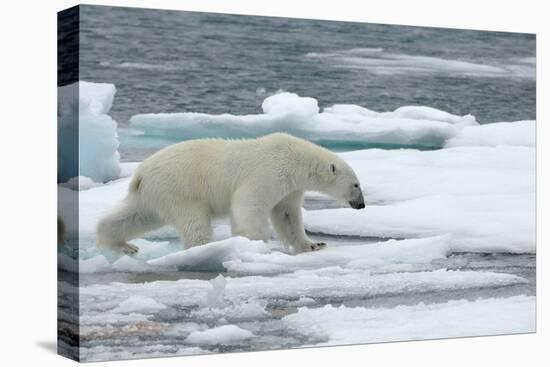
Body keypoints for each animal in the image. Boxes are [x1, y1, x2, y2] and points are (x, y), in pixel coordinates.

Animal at [97, 133, 366, 256]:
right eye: (356, 185)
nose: (361, 205)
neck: (296, 159)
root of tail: (140, 173)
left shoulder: (290, 187)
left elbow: (287, 215)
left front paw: (314, 244)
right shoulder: (269, 171)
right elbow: (249, 205)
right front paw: (254, 242)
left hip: (154, 194)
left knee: (134, 216)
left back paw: (122, 245)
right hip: (179, 189)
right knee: (195, 222)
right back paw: (203, 249)